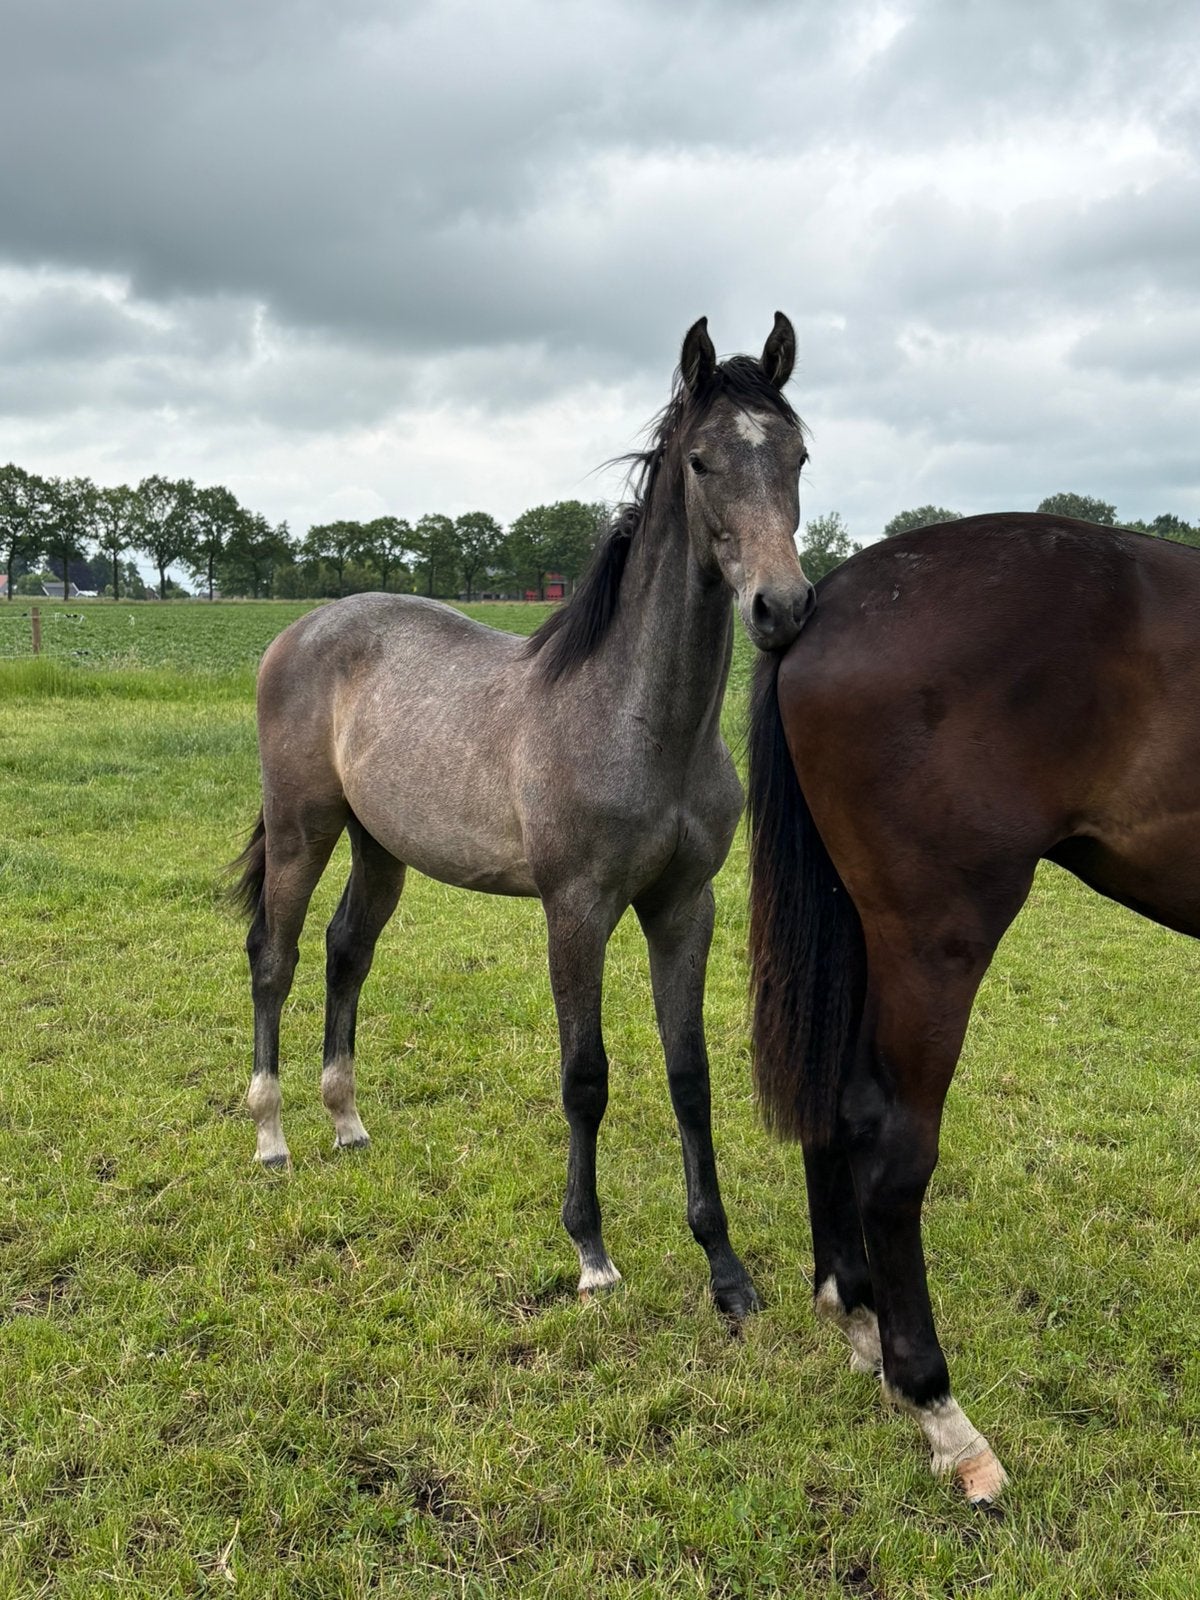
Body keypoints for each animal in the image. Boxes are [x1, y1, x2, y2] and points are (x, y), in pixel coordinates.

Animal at [231, 312, 814, 1318]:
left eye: (799, 456)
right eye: (701, 461)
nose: (781, 607)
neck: (636, 720)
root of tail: (301, 630)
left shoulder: (683, 908)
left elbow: (689, 1076)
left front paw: (725, 1269)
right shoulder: (575, 910)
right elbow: (586, 1078)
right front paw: (592, 1253)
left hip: (381, 848)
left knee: (348, 952)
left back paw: (346, 1122)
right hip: (304, 829)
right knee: (277, 956)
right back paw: (273, 1137)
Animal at [746, 512, 1200, 1499]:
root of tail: (826, 600)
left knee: (832, 1105)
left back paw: (859, 1321)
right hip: (937, 942)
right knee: (891, 1147)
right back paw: (941, 1412)